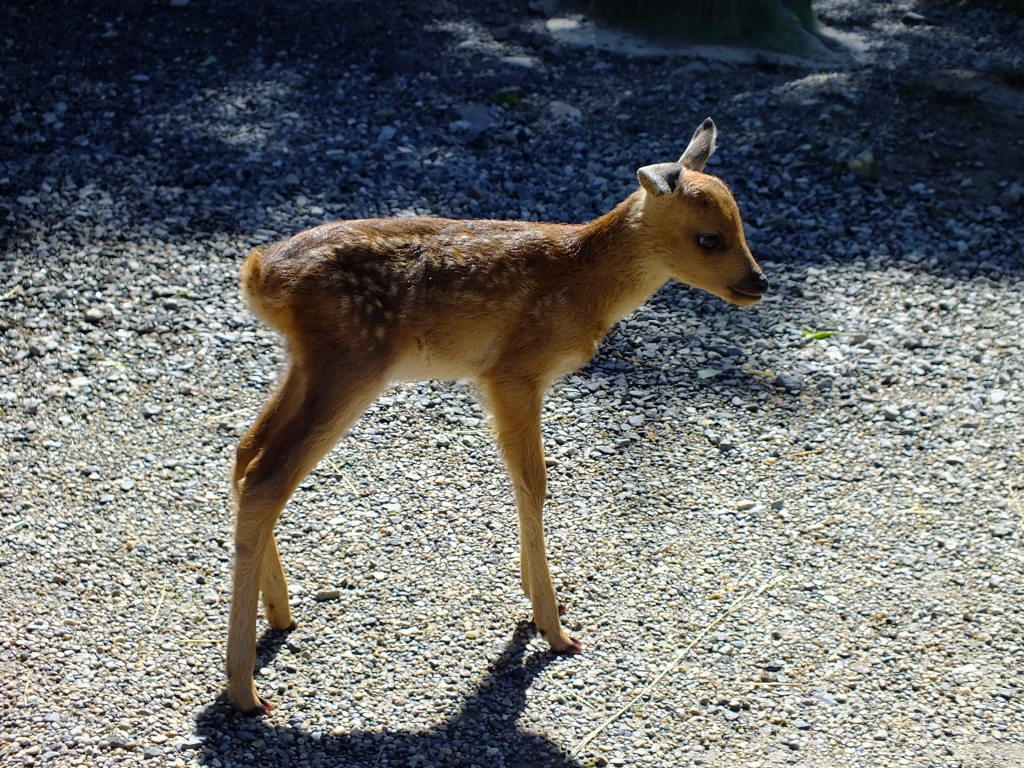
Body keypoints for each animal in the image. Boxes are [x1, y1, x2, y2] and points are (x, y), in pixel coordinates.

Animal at [226, 118, 770, 716]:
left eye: (741, 224)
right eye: (708, 238)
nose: (759, 282)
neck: (582, 280)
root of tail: (260, 275)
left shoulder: (509, 380)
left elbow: (523, 482)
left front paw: (539, 606)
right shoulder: (513, 371)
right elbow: (534, 482)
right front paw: (553, 629)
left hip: (309, 363)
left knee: (245, 452)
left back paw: (279, 615)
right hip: (351, 363)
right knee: (267, 477)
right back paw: (245, 690)